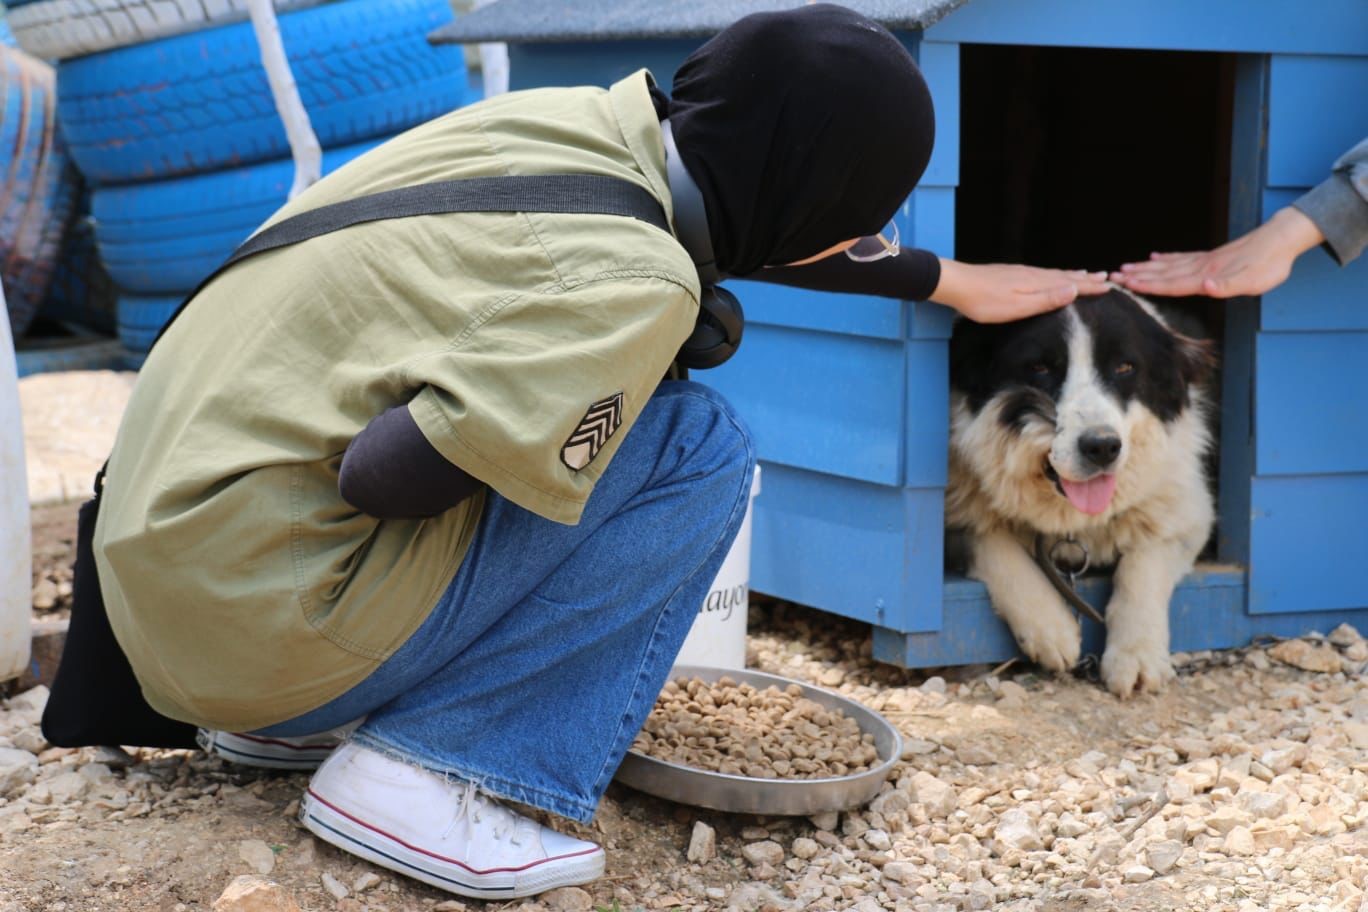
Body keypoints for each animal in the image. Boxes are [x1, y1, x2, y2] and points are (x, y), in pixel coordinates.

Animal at [946, 288, 1214, 694]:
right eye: (1040, 367)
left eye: (1125, 367)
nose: (1101, 447)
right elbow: (991, 541)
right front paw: (1049, 626)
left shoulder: (1187, 513)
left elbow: (1143, 566)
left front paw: (1137, 654)